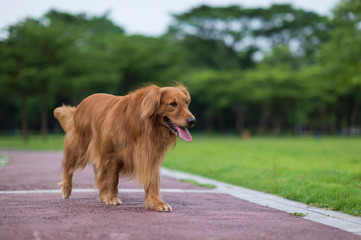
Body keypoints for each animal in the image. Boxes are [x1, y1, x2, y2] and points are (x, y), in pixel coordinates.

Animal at [53, 83, 194, 211]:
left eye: (186, 103)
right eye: (173, 104)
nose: (192, 121)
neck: (144, 125)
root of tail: (79, 106)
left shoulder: (150, 156)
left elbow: (152, 181)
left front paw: (157, 202)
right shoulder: (113, 154)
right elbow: (113, 179)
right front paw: (112, 198)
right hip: (78, 147)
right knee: (68, 168)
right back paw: (66, 190)